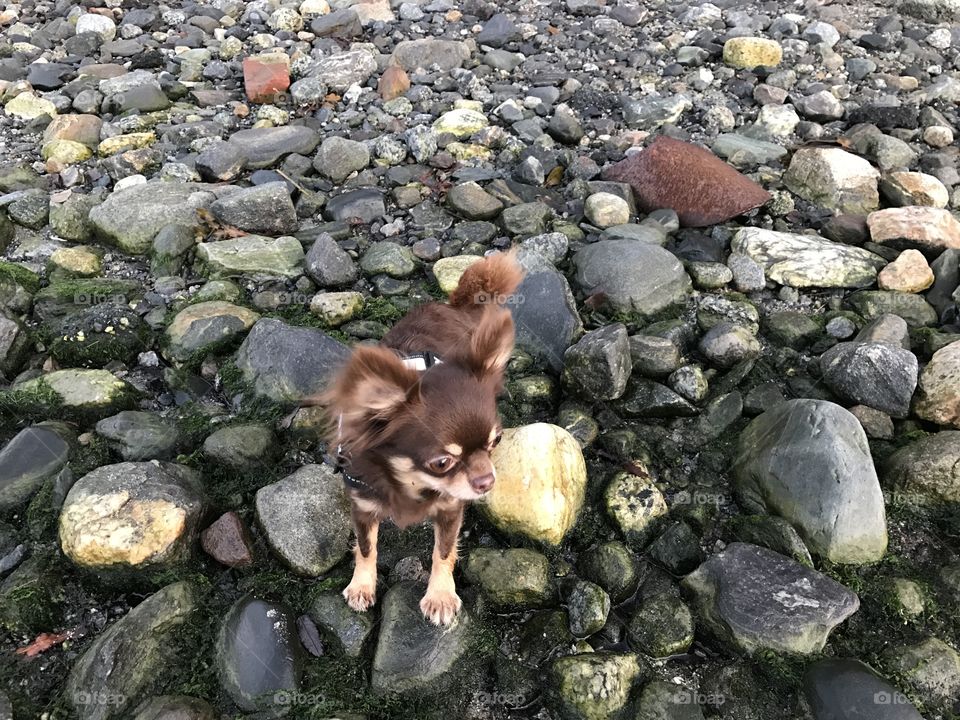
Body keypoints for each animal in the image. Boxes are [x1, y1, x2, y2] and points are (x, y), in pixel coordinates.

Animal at [318, 252, 520, 624]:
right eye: (442, 462)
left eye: (496, 441)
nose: (487, 481)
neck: (411, 480)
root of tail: (453, 305)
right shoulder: (363, 507)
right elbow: (366, 548)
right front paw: (362, 586)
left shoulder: (451, 509)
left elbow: (443, 551)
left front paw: (440, 595)